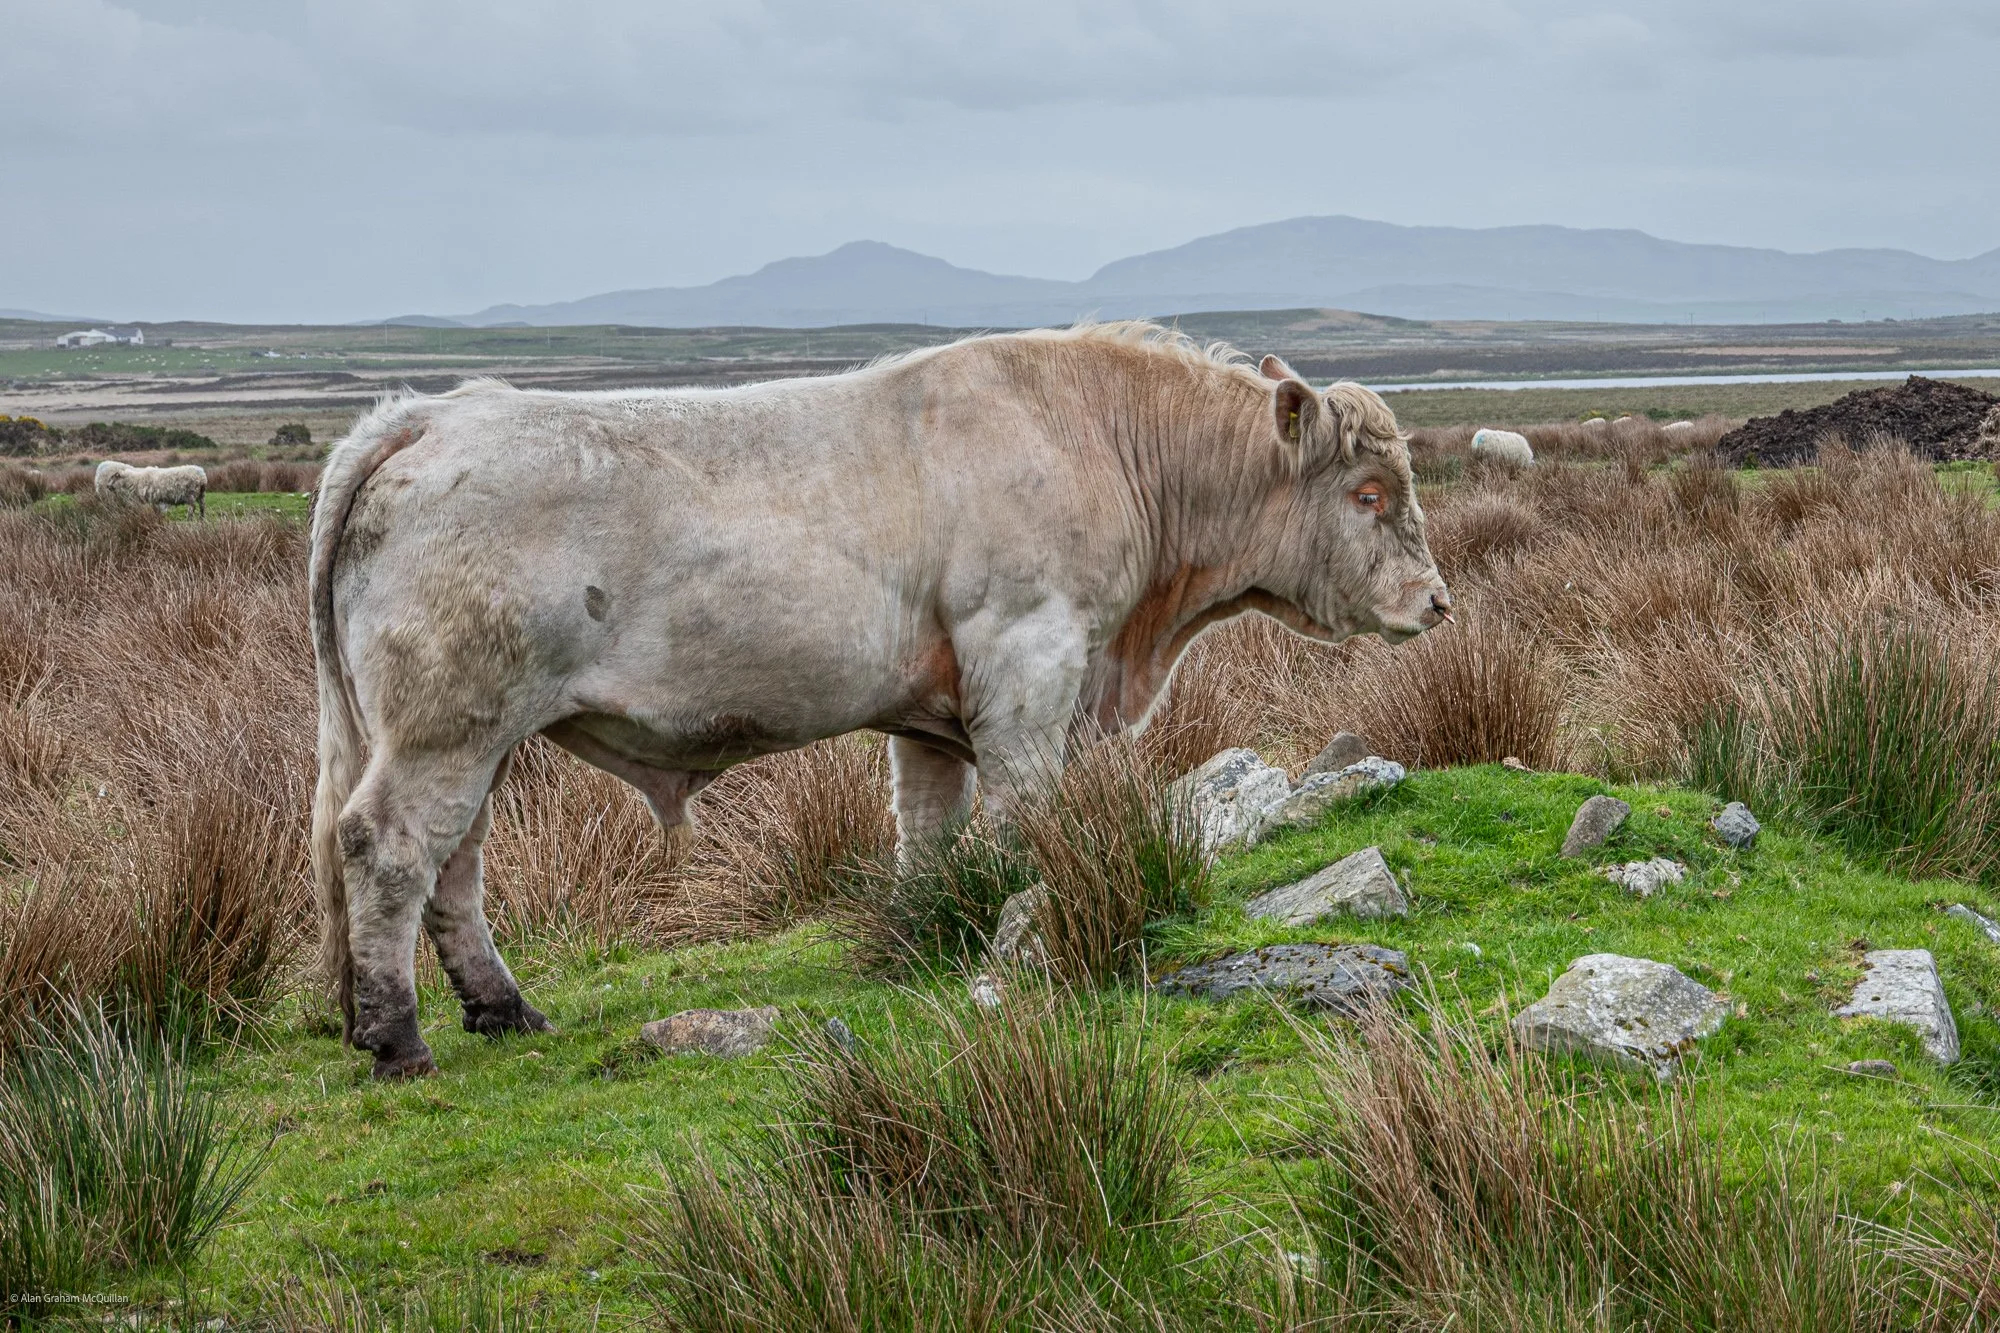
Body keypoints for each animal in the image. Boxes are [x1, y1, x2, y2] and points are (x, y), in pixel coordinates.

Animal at [309, 322, 1452, 1078]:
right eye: (1367, 495)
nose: (1436, 601)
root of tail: (430, 415)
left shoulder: (932, 719)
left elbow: (928, 836)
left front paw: (933, 931)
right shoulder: (1028, 667)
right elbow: (1027, 818)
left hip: (470, 734)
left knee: (453, 861)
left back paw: (497, 1009)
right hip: (446, 727)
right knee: (388, 845)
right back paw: (397, 1037)